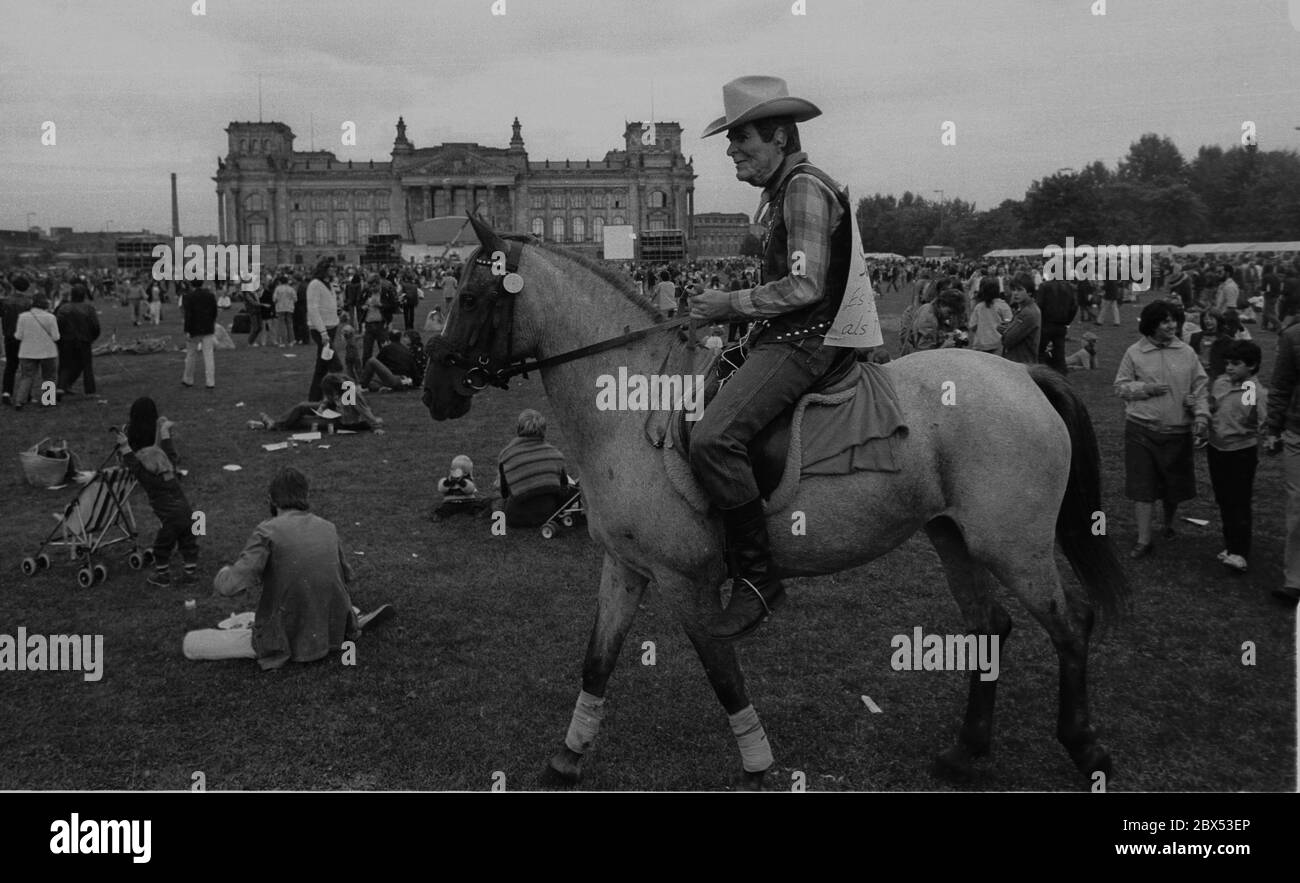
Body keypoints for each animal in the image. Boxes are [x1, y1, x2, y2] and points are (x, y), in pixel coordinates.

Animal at [423, 215, 1128, 795]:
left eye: (470, 297)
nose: (436, 391)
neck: (627, 410)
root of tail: (1023, 374)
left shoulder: (685, 579)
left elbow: (722, 672)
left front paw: (758, 761)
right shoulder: (625, 567)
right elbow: (597, 661)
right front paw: (567, 758)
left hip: (1014, 544)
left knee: (1070, 625)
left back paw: (1085, 745)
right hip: (954, 535)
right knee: (989, 627)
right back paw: (965, 751)